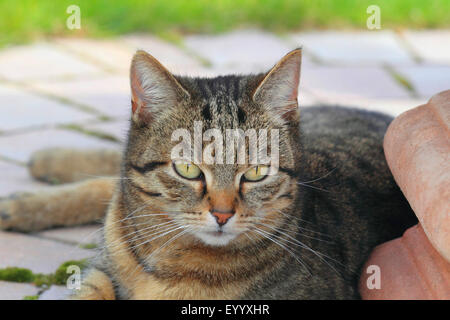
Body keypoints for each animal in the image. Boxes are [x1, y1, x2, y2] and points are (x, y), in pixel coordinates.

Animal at [0, 48, 416, 298]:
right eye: (188, 169)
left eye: (256, 172)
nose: (222, 213)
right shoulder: (102, 272)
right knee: (109, 176)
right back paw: (37, 177)